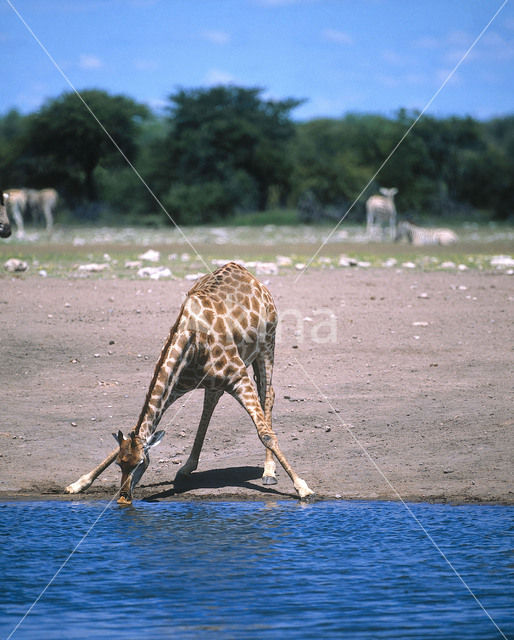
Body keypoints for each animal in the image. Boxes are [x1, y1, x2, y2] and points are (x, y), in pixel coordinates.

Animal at [64, 262, 312, 502]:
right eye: (120, 464)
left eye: (140, 463)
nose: (124, 497)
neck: (193, 341)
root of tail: (250, 276)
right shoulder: (176, 385)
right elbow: (134, 431)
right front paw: (78, 484)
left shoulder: (239, 377)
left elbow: (266, 435)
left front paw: (303, 488)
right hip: (217, 381)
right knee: (211, 403)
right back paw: (187, 467)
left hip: (267, 345)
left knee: (267, 396)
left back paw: (268, 472)